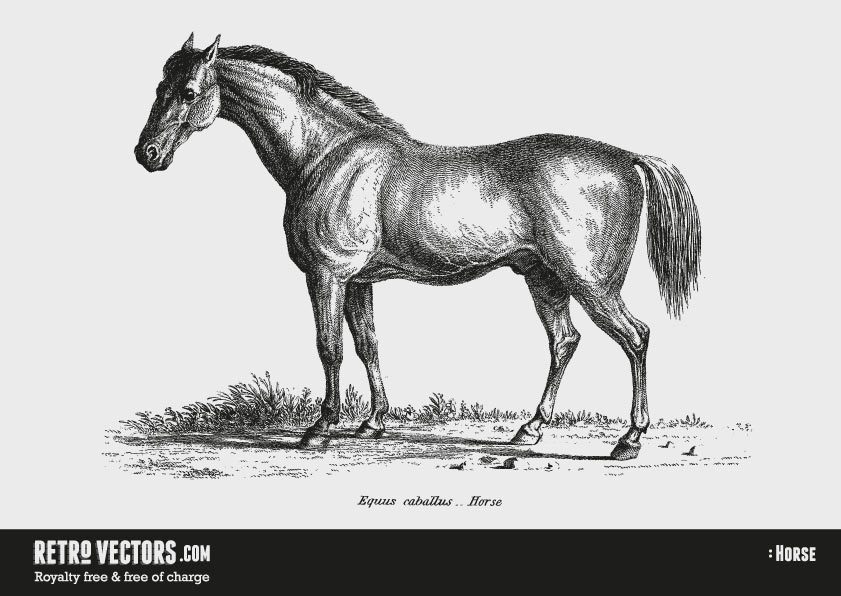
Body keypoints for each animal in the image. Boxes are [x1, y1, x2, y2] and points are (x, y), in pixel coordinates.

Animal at [135, 34, 701, 460]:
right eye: (160, 85)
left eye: (189, 91)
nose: (147, 153)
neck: (328, 154)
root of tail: (626, 157)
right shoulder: (358, 281)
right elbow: (368, 344)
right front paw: (373, 423)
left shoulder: (327, 275)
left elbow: (329, 346)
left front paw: (320, 428)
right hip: (545, 279)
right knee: (564, 342)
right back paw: (529, 430)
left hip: (592, 284)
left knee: (635, 337)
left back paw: (629, 440)